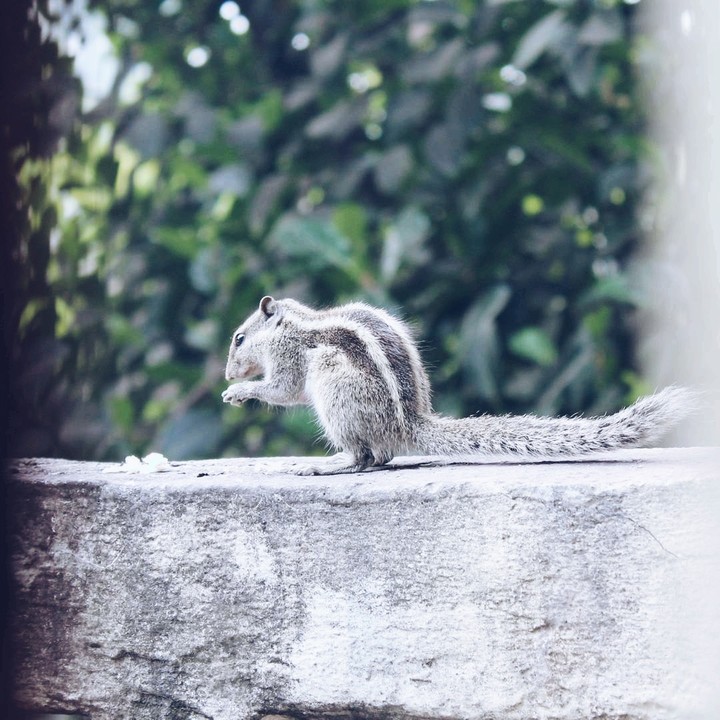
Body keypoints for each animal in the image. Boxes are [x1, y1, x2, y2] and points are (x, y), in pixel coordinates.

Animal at [222, 295, 695, 475]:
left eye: (239, 338)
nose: (227, 376)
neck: (292, 324)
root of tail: (407, 425)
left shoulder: (289, 358)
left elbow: (283, 390)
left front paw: (240, 393)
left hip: (337, 391)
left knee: (366, 458)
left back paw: (330, 464)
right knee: (379, 458)